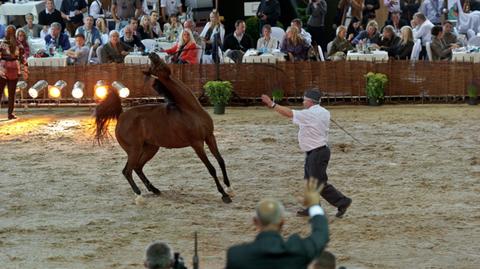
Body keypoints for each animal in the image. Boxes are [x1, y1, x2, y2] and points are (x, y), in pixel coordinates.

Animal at [94, 52, 232, 201]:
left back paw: (154, 189)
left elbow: (221, 160)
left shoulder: (210, 137)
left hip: (150, 148)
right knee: (127, 170)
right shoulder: (197, 144)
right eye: (155, 68)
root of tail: (121, 116)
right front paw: (224, 195)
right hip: (134, 150)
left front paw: (228, 186)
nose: (152, 53)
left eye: (156, 63)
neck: (190, 110)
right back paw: (139, 194)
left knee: (138, 167)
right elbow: (211, 168)